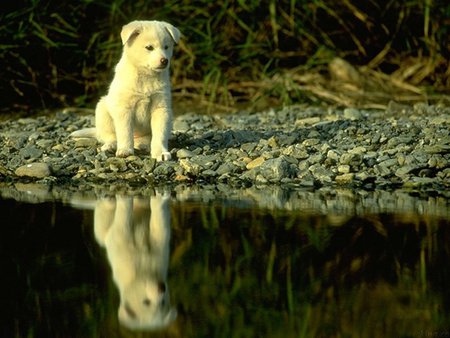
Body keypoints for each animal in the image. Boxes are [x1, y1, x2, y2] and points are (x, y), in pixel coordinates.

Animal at [71, 20, 180, 161]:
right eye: (149, 47)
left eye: (166, 47)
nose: (164, 61)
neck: (146, 76)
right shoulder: (124, 108)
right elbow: (125, 132)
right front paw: (125, 150)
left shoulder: (161, 108)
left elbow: (159, 134)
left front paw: (160, 153)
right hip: (103, 110)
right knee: (110, 136)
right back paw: (111, 146)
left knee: (145, 139)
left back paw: (143, 145)